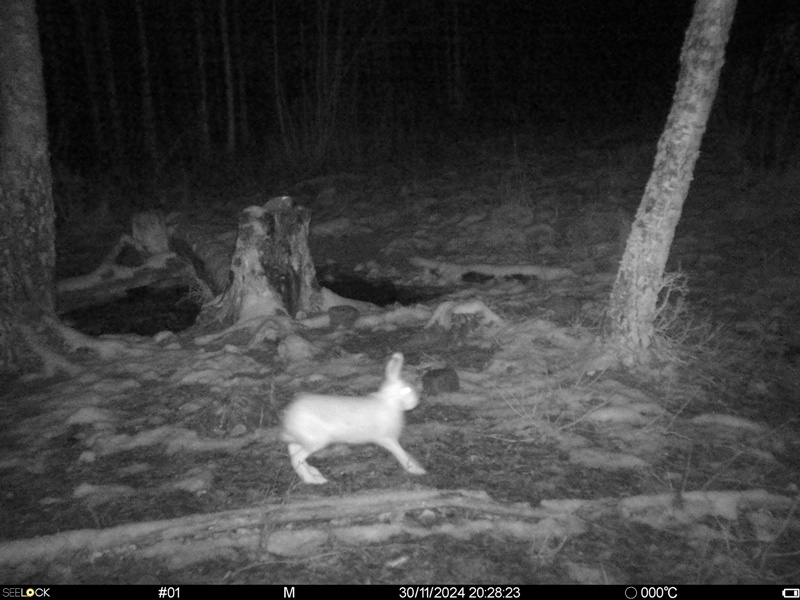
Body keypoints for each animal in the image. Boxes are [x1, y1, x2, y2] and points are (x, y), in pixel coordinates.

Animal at [281, 352, 426, 484]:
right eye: (406, 390)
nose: (417, 401)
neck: (390, 402)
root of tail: (288, 417)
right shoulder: (388, 439)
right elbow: (401, 454)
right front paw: (417, 470)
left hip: (304, 439)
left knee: (293, 451)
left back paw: (315, 474)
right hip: (316, 440)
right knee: (297, 457)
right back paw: (314, 480)